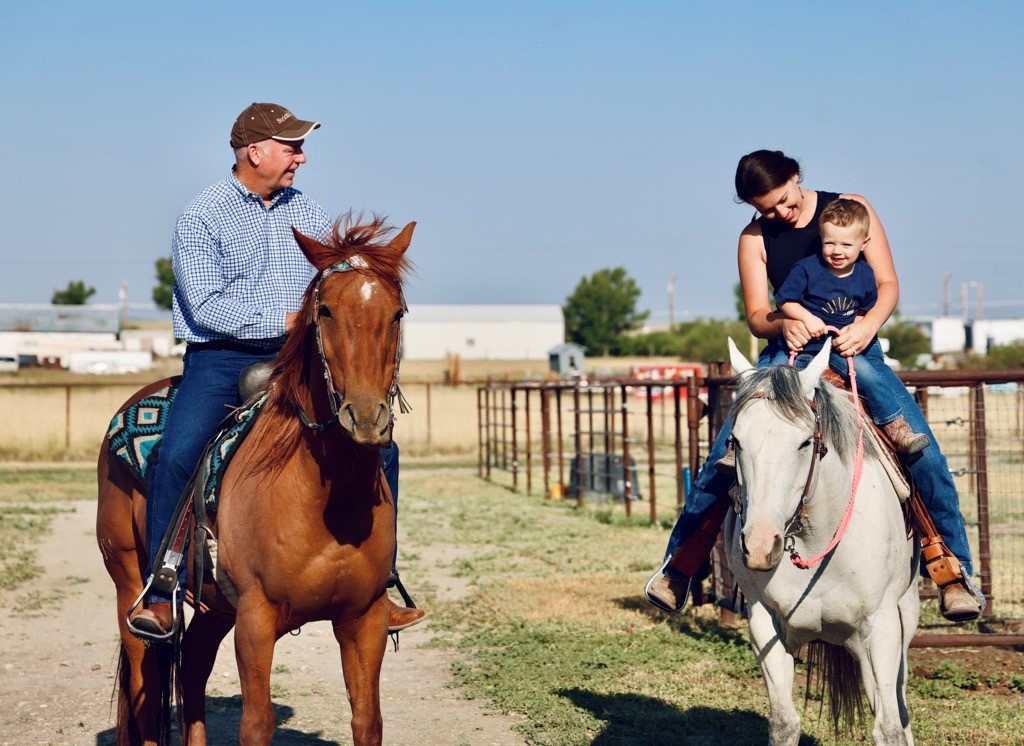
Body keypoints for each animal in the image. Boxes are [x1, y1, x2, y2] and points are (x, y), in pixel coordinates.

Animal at [96, 214, 413, 744]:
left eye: (398, 314)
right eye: (324, 310)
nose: (367, 419)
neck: (325, 502)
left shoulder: (364, 618)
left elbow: (368, 720)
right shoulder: (257, 619)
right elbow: (257, 722)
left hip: (213, 608)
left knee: (192, 669)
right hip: (128, 578)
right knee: (147, 681)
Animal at [724, 339, 925, 744]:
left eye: (805, 442)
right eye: (735, 441)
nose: (759, 547)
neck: (817, 542)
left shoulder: (882, 627)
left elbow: (890, 729)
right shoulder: (763, 622)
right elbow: (784, 722)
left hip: (901, 621)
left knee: (898, 707)